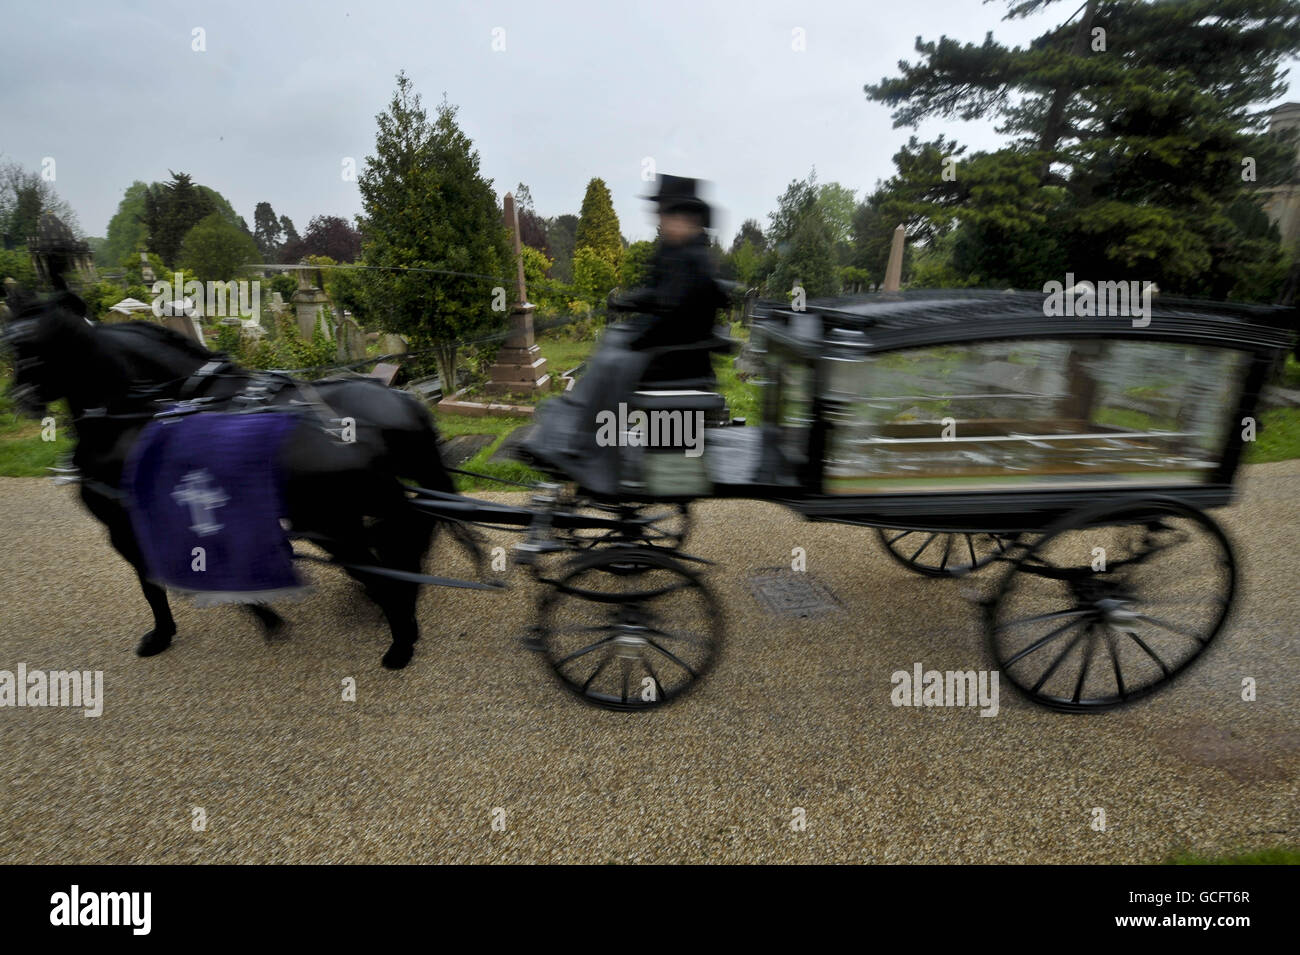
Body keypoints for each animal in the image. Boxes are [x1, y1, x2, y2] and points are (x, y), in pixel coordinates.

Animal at [3, 291, 462, 670]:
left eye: (28, 344)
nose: (20, 400)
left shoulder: (126, 525)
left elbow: (155, 582)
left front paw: (166, 633)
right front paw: (261, 607)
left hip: (333, 521)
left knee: (380, 566)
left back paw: (400, 640)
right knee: (399, 549)